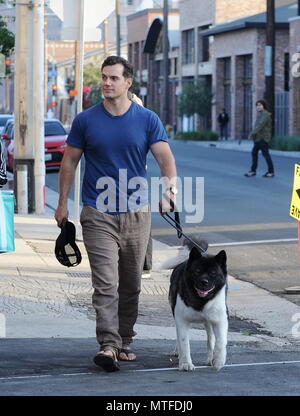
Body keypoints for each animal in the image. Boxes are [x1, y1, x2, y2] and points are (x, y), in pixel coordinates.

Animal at [157, 237, 227, 370]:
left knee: (210, 338)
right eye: (197, 271)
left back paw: (210, 359)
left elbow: (220, 341)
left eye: (213, 273)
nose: (204, 282)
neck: (201, 300)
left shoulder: (220, 320)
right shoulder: (181, 320)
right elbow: (184, 342)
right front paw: (185, 363)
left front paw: (218, 361)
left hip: (208, 322)